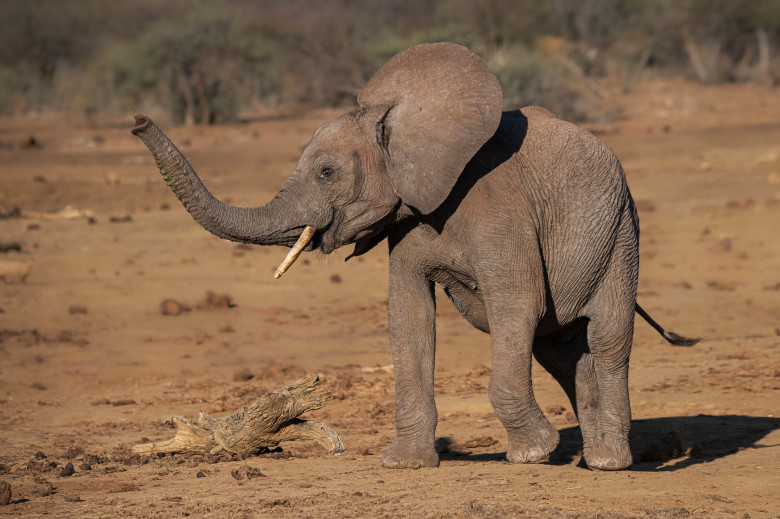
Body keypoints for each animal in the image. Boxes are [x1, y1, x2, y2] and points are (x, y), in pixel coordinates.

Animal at [131, 41, 696, 472]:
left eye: (326, 173)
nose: (137, 121)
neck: (400, 119)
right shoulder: (408, 223)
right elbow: (408, 314)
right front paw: (405, 464)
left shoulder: (501, 209)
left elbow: (515, 304)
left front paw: (532, 454)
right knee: (558, 349)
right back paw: (590, 456)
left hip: (621, 232)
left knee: (605, 339)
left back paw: (608, 463)